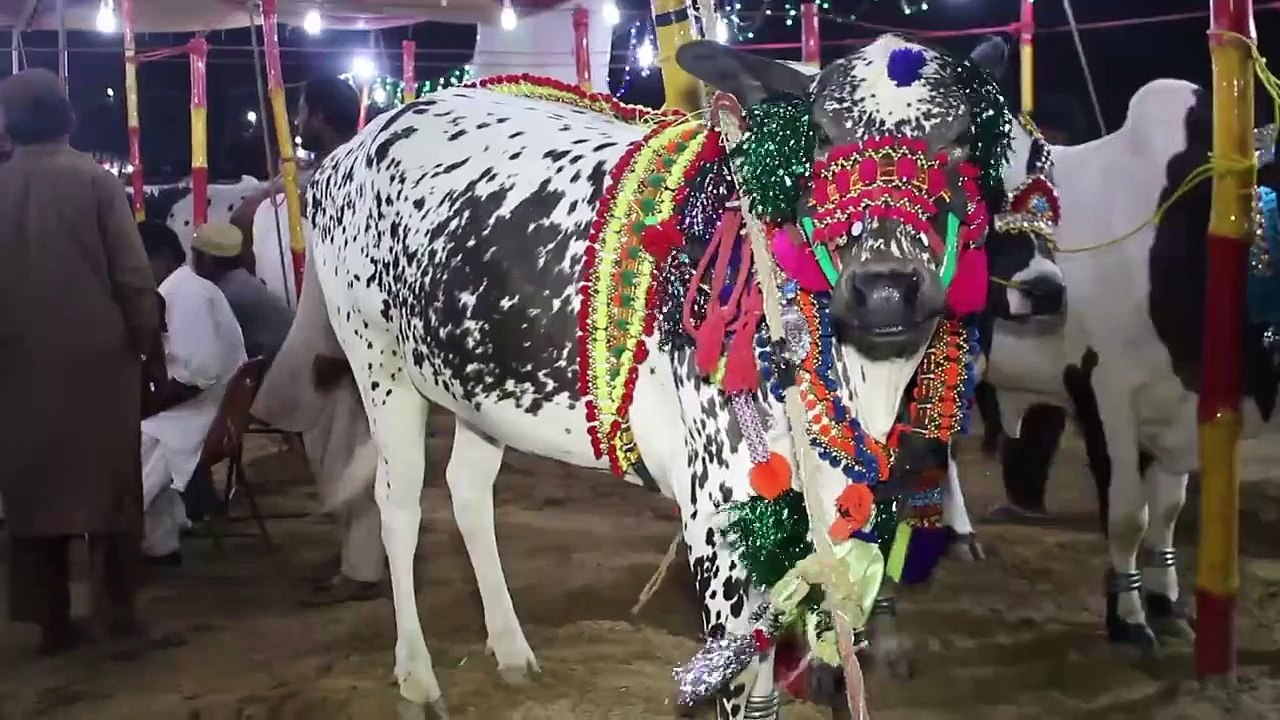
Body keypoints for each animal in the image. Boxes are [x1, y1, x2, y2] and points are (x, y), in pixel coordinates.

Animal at [301, 35, 1053, 719]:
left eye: (962, 138)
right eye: (819, 136)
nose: (886, 289)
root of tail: (351, 150)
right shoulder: (716, 521)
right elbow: (740, 685)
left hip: (477, 387)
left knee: (466, 491)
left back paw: (512, 651)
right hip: (379, 365)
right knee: (398, 505)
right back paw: (418, 678)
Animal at [967, 78, 1279, 654]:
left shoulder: (1182, 406)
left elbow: (1167, 513)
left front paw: (1166, 602)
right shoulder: (1104, 395)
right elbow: (1128, 514)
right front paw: (1128, 616)